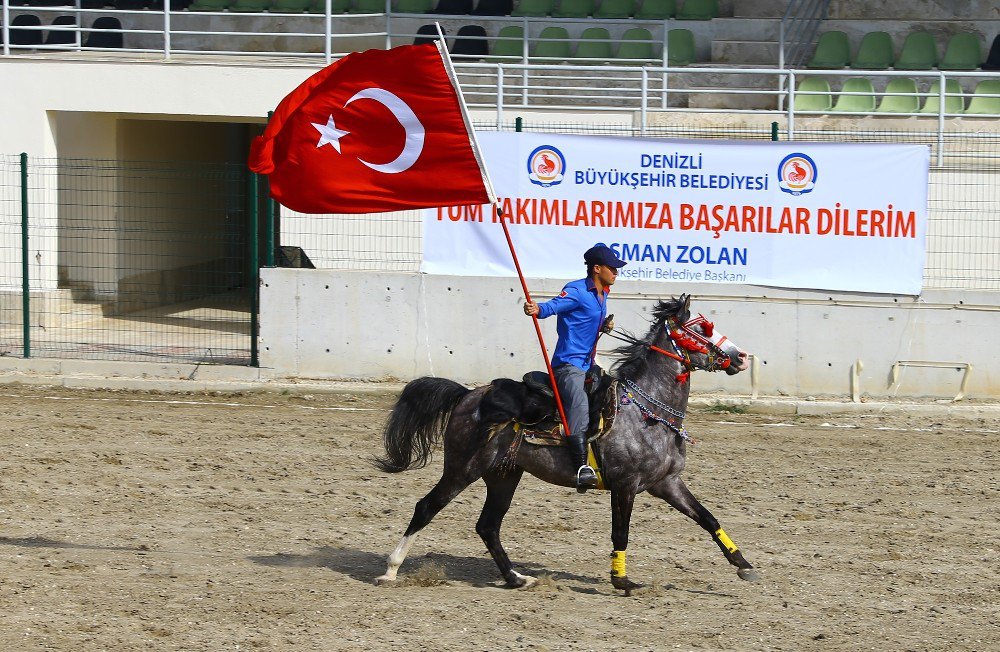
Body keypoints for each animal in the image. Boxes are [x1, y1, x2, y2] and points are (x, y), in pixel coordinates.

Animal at [374, 292, 756, 592]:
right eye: (701, 329)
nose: (740, 357)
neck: (646, 411)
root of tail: (467, 395)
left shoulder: (666, 482)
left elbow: (707, 518)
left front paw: (744, 565)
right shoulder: (625, 485)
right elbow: (621, 533)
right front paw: (622, 580)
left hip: (503, 474)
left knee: (488, 526)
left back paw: (516, 578)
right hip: (463, 467)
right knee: (427, 507)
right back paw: (391, 570)